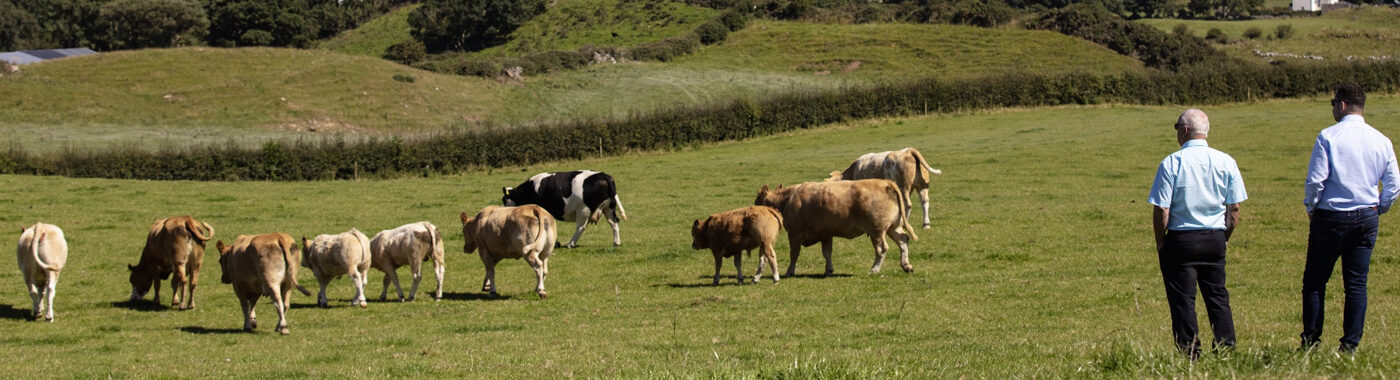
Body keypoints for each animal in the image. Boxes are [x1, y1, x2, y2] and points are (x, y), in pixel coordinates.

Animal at [756, 180, 918, 279]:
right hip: (892, 227)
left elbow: (794, 255)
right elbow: (827, 253)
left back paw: (874, 270)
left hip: (877, 231)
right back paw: (906, 265)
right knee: (903, 240)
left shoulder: (795, 234)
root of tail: (885, 182)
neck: (788, 199)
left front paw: (790, 271)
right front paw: (829, 270)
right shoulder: (826, 234)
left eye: (757, 201)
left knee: (882, 249)